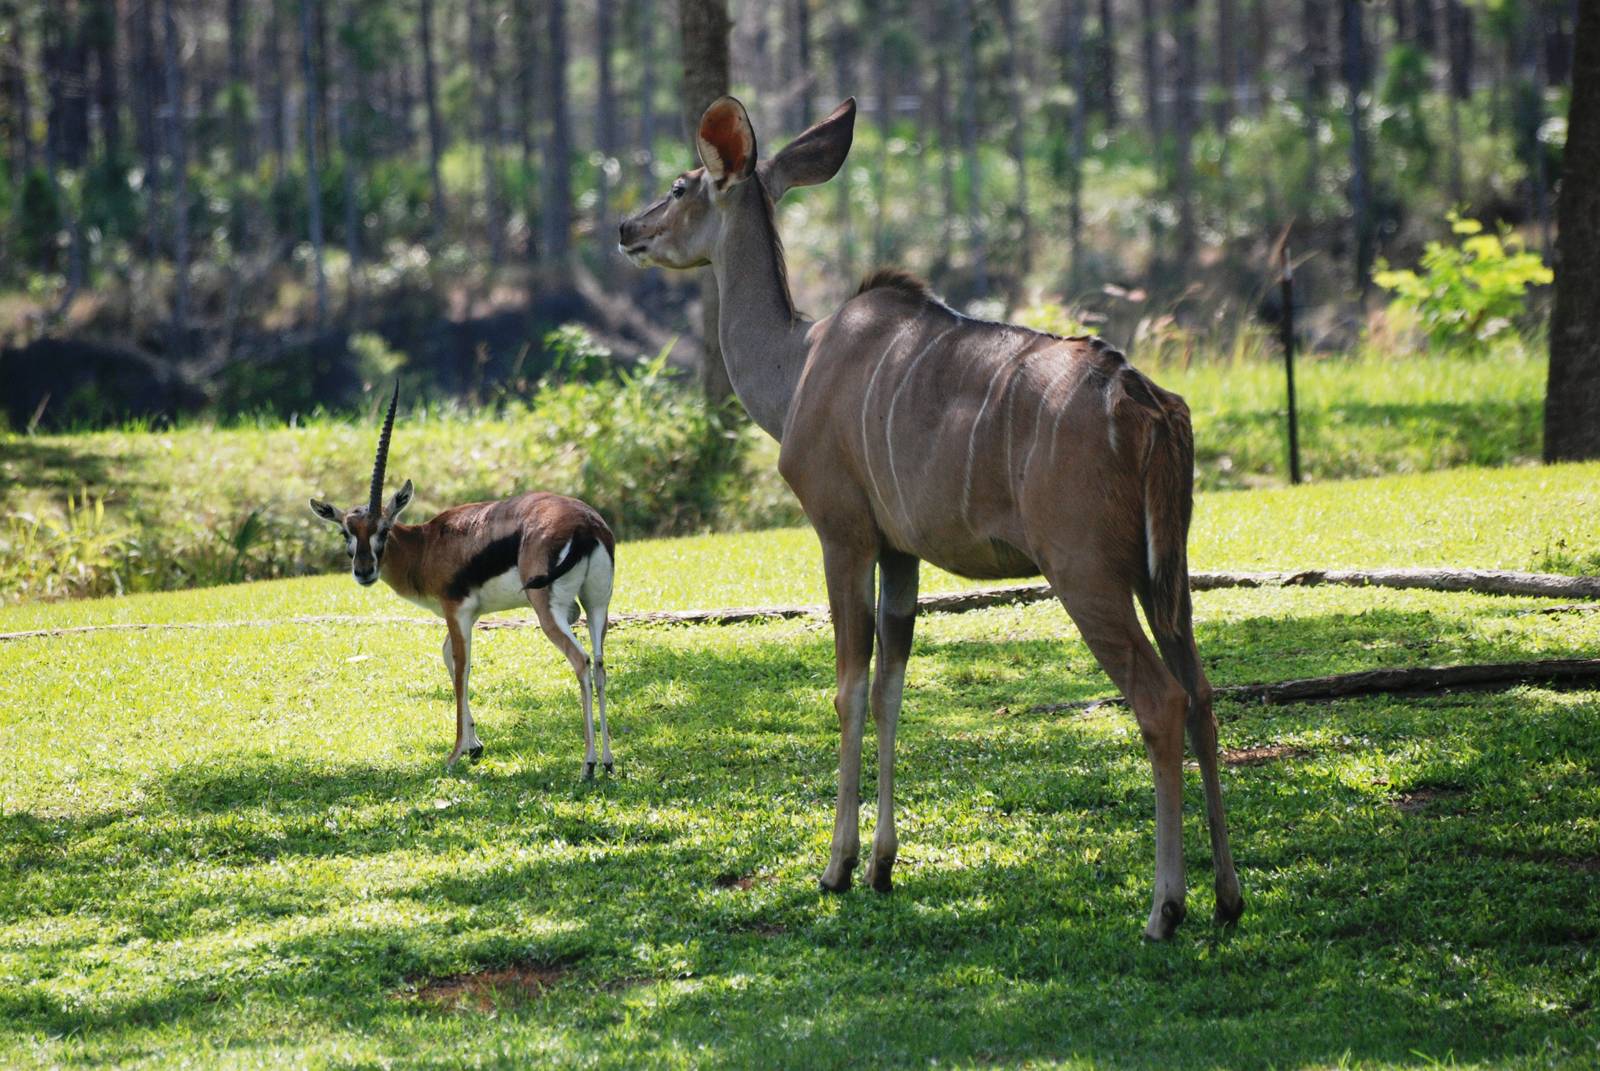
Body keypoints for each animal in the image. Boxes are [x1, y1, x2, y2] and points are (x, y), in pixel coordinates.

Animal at [309, 386, 617, 777]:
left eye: (384, 529)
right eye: (346, 532)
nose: (363, 571)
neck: (426, 544)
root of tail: (585, 524)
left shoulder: (456, 611)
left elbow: (460, 664)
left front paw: (456, 753)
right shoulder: (470, 615)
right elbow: (450, 660)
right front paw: (474, 745)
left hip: (549, 611)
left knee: (581, 661)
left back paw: (588, 764)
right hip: (596, 606)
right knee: (601, 664)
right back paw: (607, 761)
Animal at [619, 96, 1241, 939]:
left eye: (683, 186)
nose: (627, 228)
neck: (800, 362)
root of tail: (1149, 405)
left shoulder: (843, 533)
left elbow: (849, 687)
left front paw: (838, 867)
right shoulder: (900, 552)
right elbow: (892, 686)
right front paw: (884, 865)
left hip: (1088, 574)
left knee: (1161, 699)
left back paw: (1164, 908)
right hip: (1165, 573)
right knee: (1204, 694)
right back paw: (1229, 897)